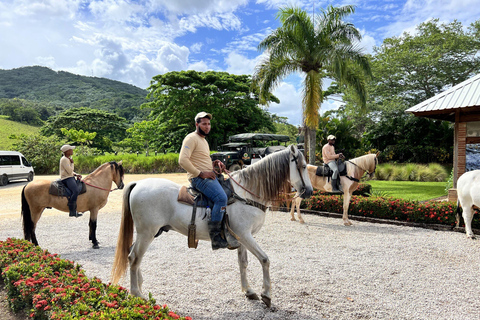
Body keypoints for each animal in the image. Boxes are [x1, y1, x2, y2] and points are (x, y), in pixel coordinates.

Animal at [110, 146, 314, 308]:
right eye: (303, 166)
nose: (310, 192)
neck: (246, 193)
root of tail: (138, 183)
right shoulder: (245, 235)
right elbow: (264, 260)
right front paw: (266, 295)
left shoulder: (241, 238)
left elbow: (243, 263)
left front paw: (248, 291)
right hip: (147, 233)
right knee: (134, 258)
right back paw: (137, 293)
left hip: (148, 233)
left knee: (133, 256)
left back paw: (139, 286)